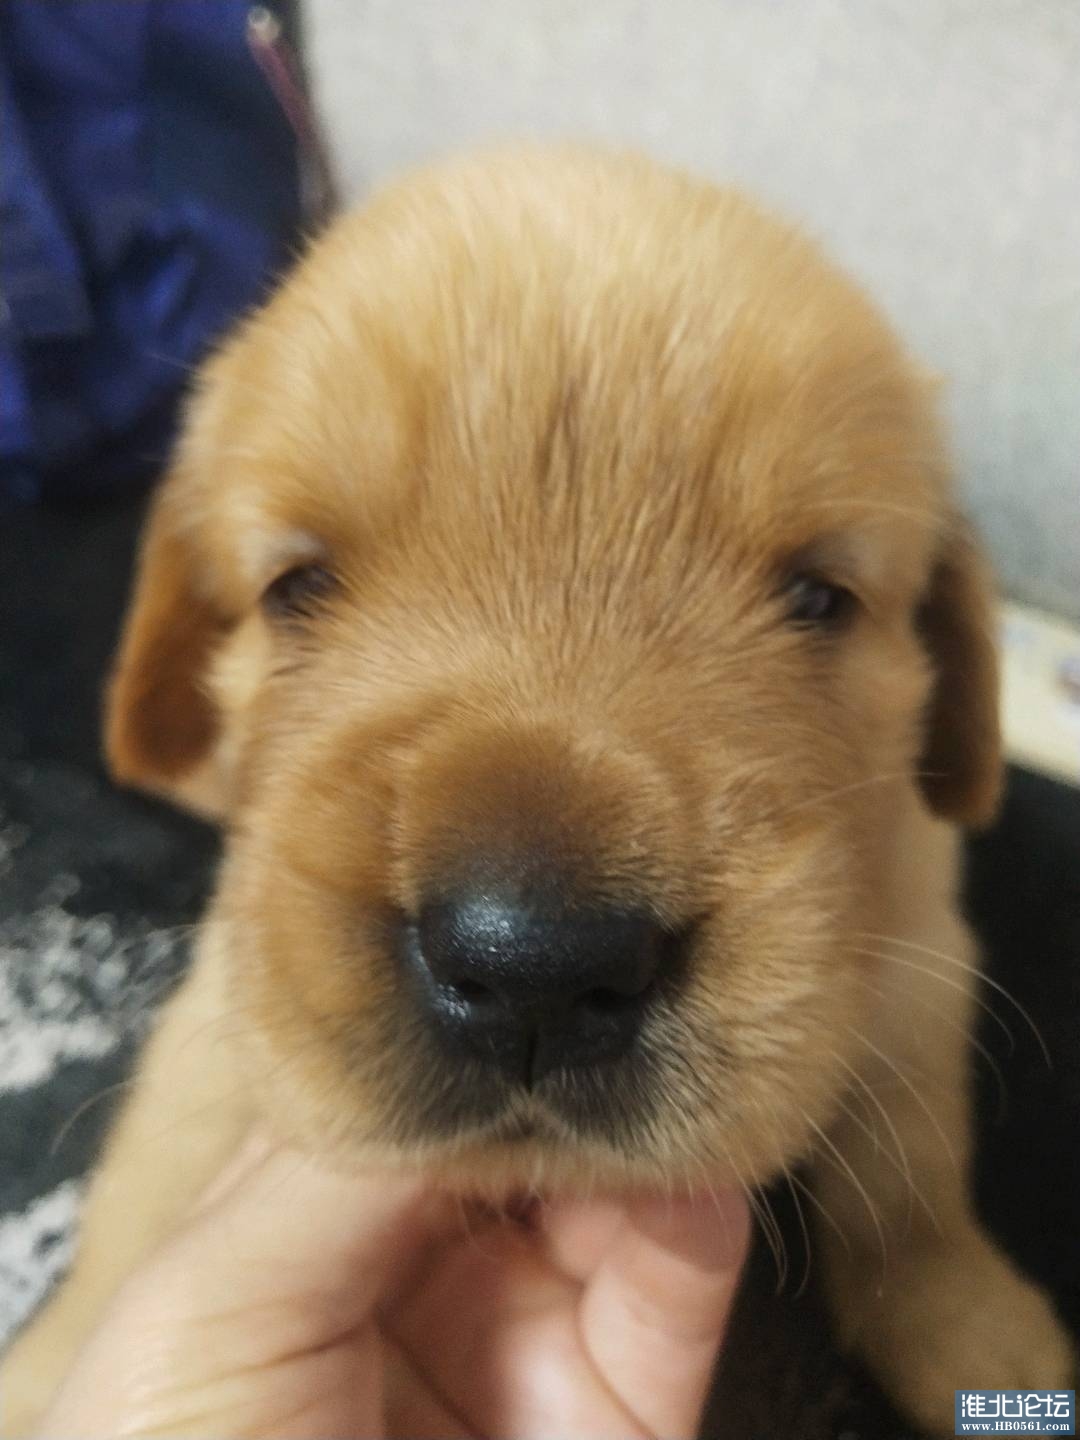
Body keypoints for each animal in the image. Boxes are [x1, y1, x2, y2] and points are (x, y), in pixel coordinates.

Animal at [2, 145, 1073, 1437]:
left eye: (819, 599)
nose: (534, 971)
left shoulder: (915, 939)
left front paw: (979, 1328)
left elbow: (912, 1168)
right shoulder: (233, 977)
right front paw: (56, 1361)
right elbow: (152, 1167)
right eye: (299, 587)